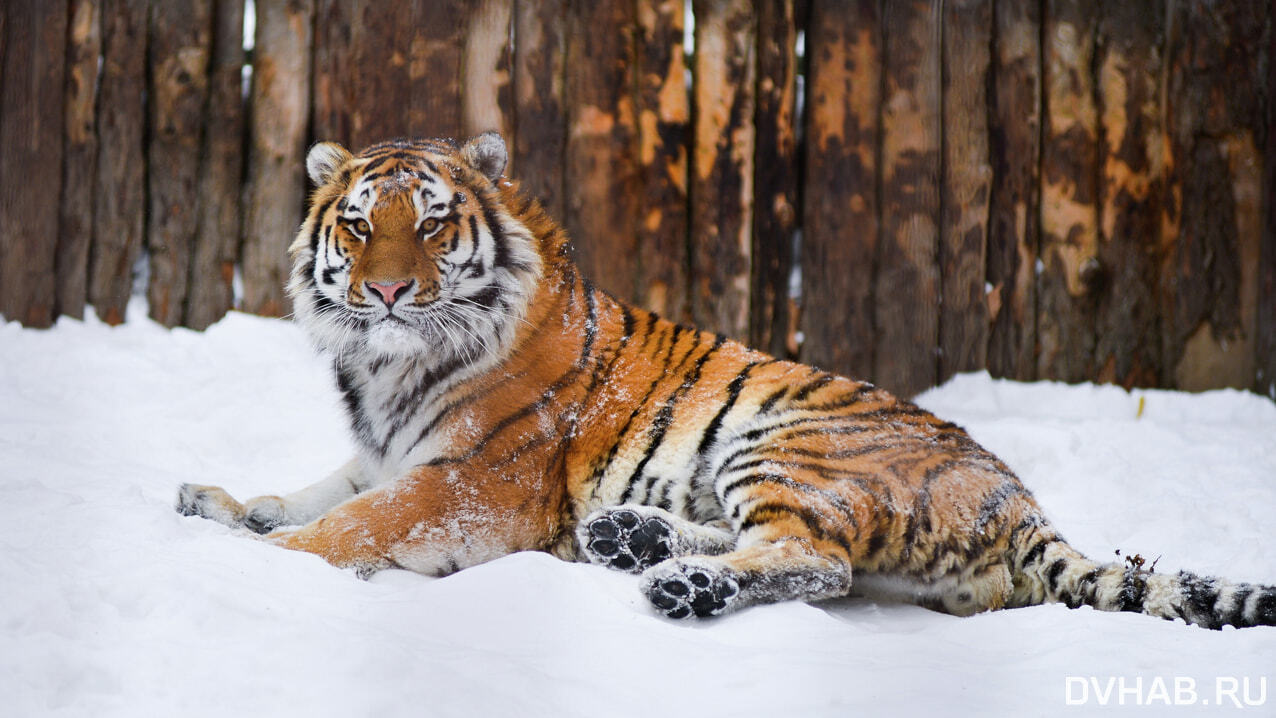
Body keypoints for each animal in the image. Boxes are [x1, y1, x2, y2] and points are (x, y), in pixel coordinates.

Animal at [177, 133, 1276, 630]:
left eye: (435, 223)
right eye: (360, 224)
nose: (389, 289)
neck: (386, 367)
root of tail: (1022, 507)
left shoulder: (477, 480)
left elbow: (357, 522)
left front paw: (266, 558)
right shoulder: (381, 454)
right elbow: (313, 490)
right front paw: (220, 504)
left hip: (788, 443)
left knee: (816, 559)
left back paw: (681, 580)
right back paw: (632, 537)